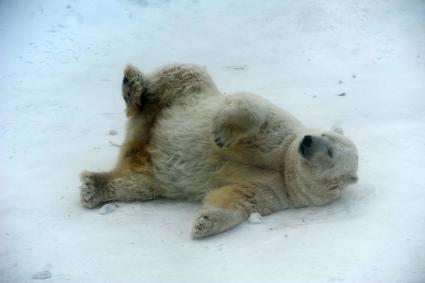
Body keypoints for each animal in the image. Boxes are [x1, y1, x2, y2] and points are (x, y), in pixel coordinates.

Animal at [80, 64, 358, 240]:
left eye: (331, 153)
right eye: (327, 136)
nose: (308, 141)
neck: (283, 165)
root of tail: (140, 142)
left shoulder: (277, 190)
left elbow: (237, 199)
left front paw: (203, 224)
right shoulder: (282, 137)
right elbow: (256, 111)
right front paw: (220, 133)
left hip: (149, 170)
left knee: (135, 184)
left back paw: (93, 187)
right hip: (181, 99)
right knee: (182, 76)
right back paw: (133, 84)